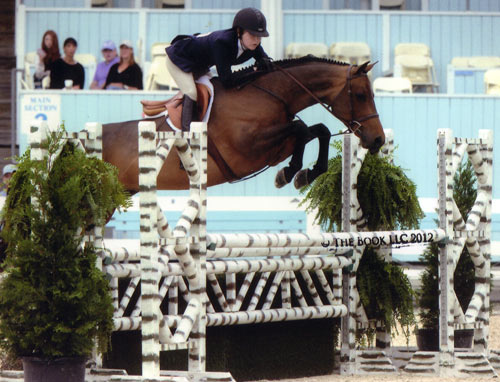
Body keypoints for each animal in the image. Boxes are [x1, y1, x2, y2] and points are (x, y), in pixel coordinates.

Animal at [99, 56, 384, 194]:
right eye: (361, 95)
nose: (378, 139)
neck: (271, 95)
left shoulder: (278, 143)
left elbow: (318, 131)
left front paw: (304, 174)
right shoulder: (248, 150)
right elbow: (302, 130)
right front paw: (288, 173)